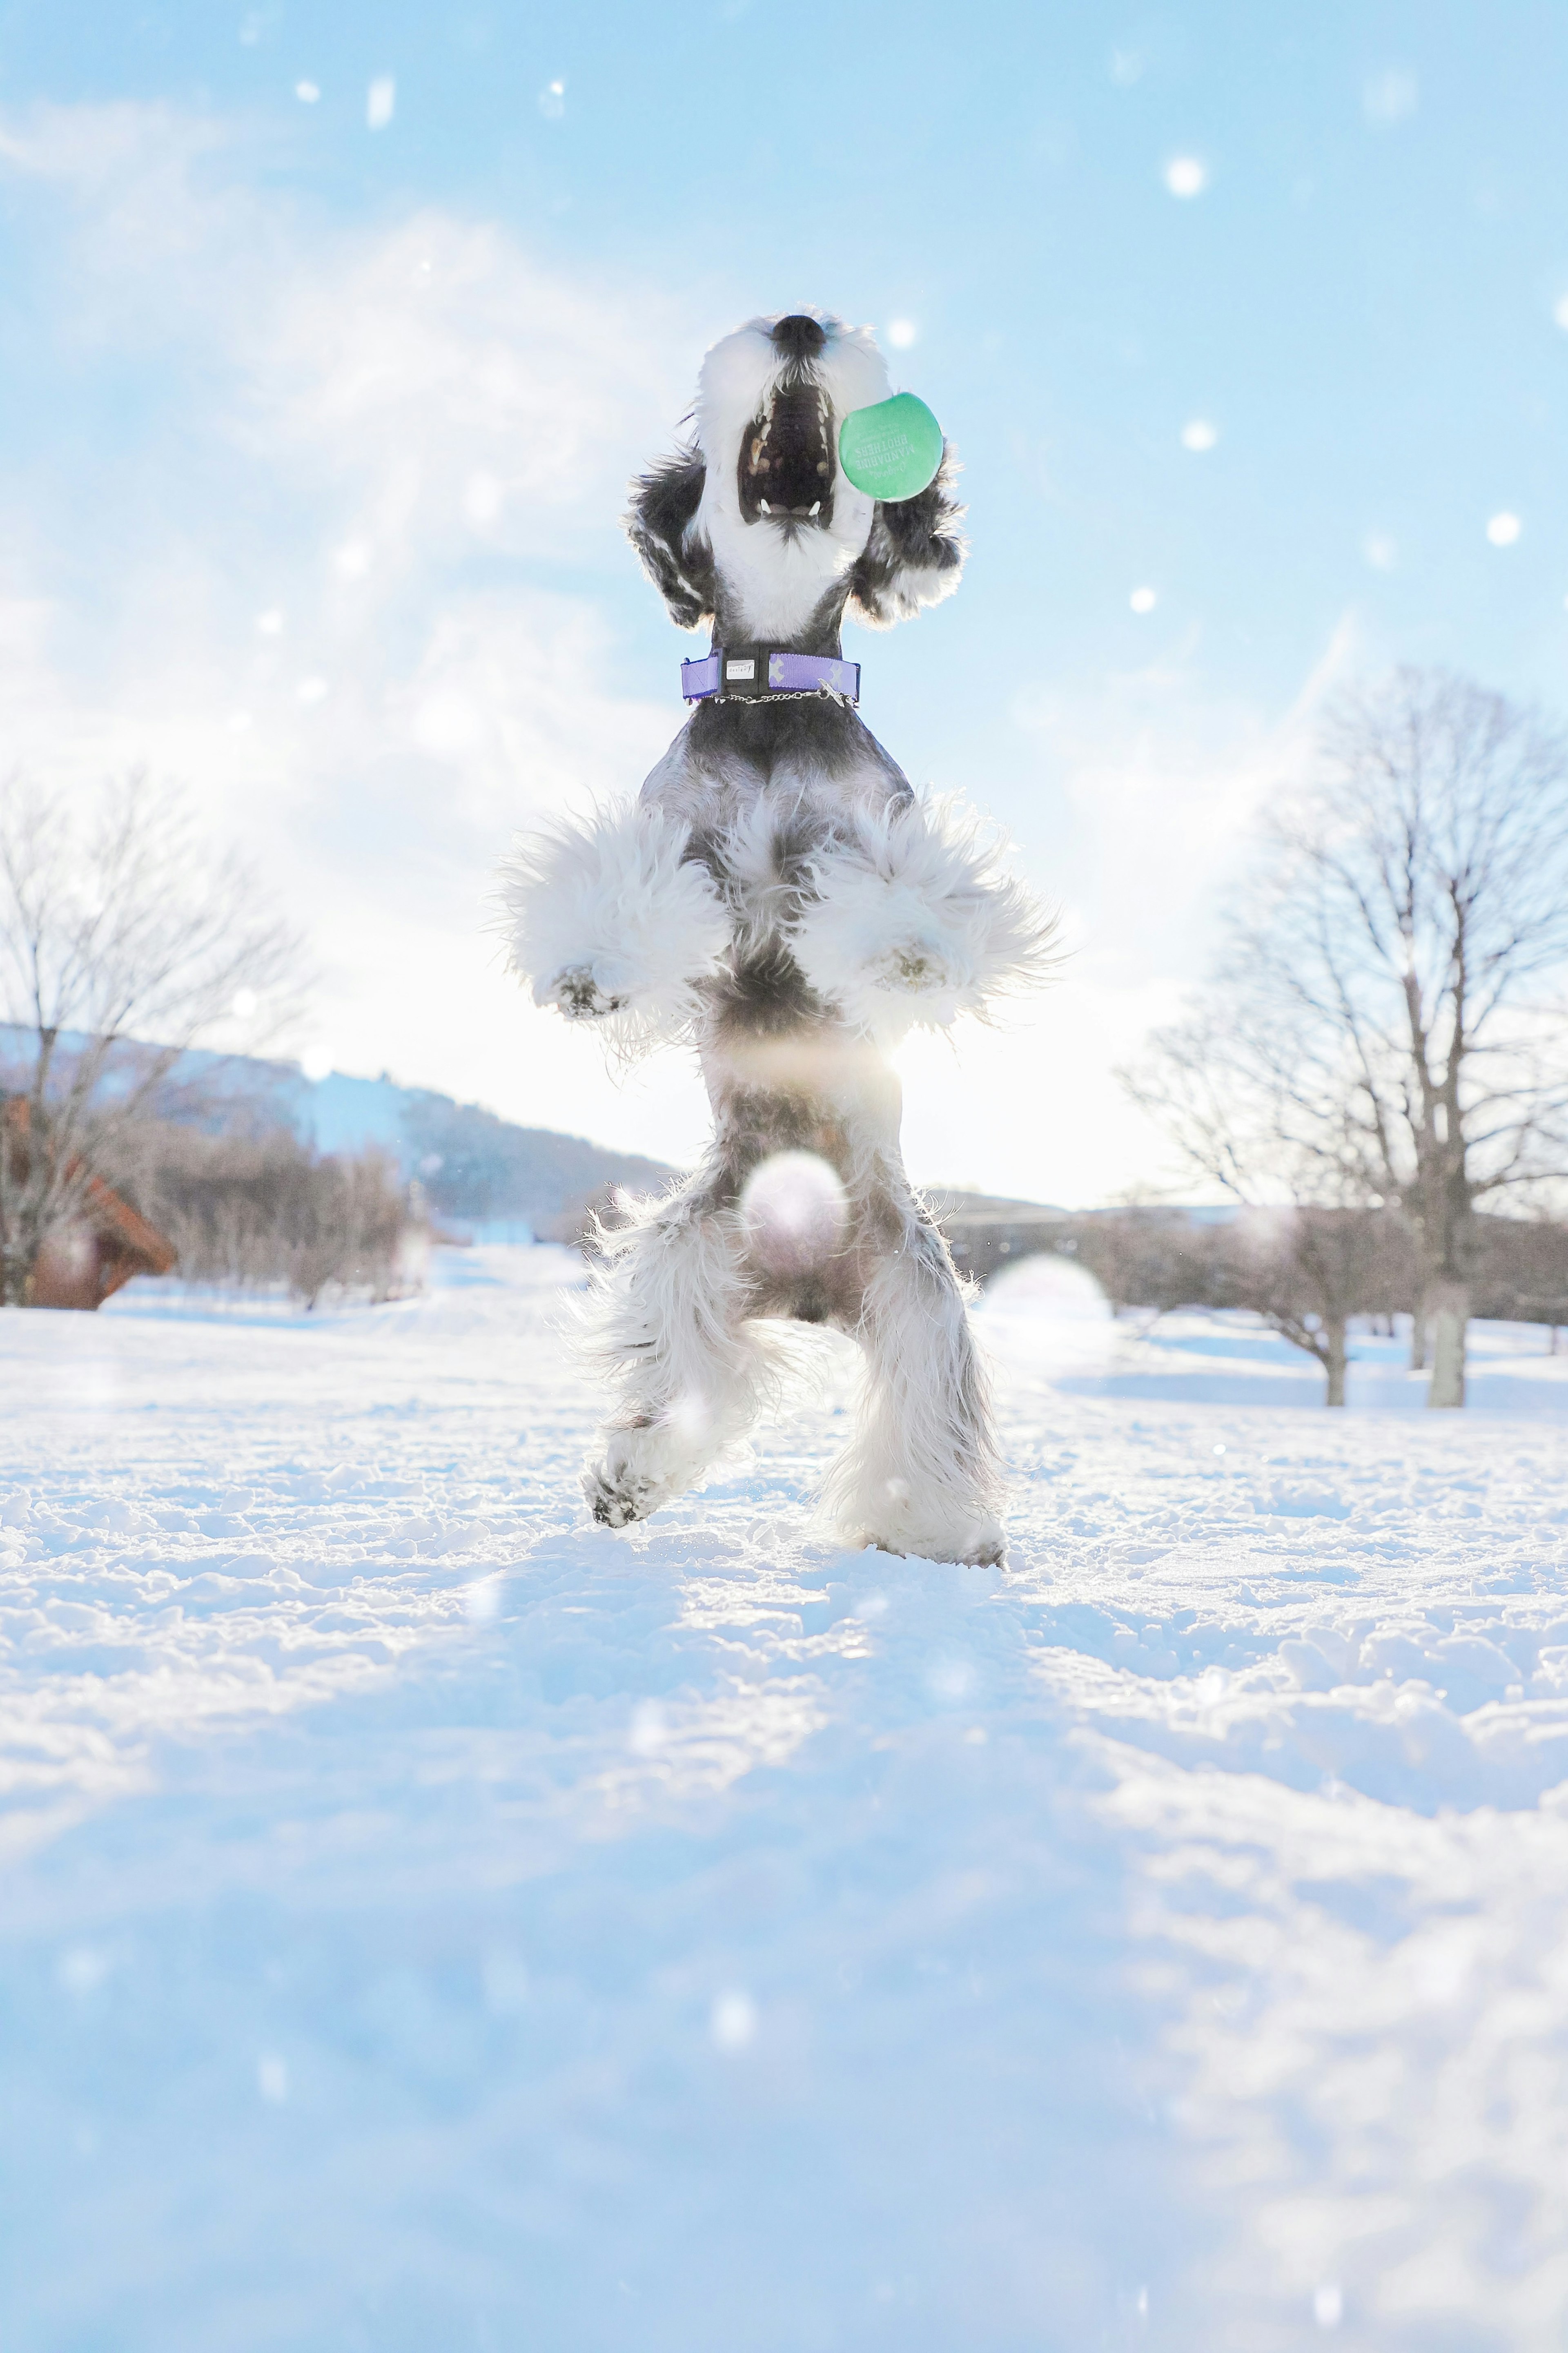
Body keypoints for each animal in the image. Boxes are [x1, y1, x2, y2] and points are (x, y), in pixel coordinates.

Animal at [496, 308, 1048, 1562]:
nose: (800, 324)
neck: (768, 699)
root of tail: (807, 1286)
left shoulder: (868, 832)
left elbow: (892, 891)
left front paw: (909, 952)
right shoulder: (675, 842)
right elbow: (631, 896)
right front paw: (590, 971)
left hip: (922, 1303)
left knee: (924, 1424)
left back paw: (940, 1531)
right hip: (687, 1262)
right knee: (696, 1386)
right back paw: (631, 1475)